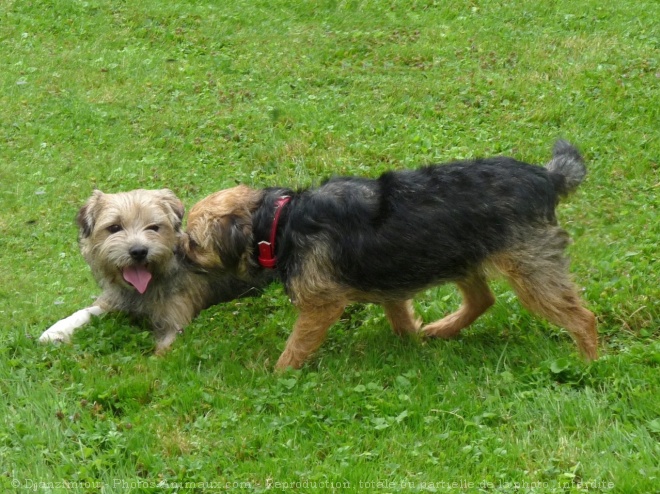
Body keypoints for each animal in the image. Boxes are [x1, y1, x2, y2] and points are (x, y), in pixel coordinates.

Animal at [186, 141, 600, 368]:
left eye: (192, 243)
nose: (181, 258)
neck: (278, 221)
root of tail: (546, 177)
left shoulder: (321, 304)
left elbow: (296, 346)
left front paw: (277, 374)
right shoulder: (392, 285)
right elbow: (401, 319)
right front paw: (413, 342)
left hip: (531, 270)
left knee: (583, 317)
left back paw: (589, 363)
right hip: (460, 255)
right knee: (483, 299)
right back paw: (442, 329)